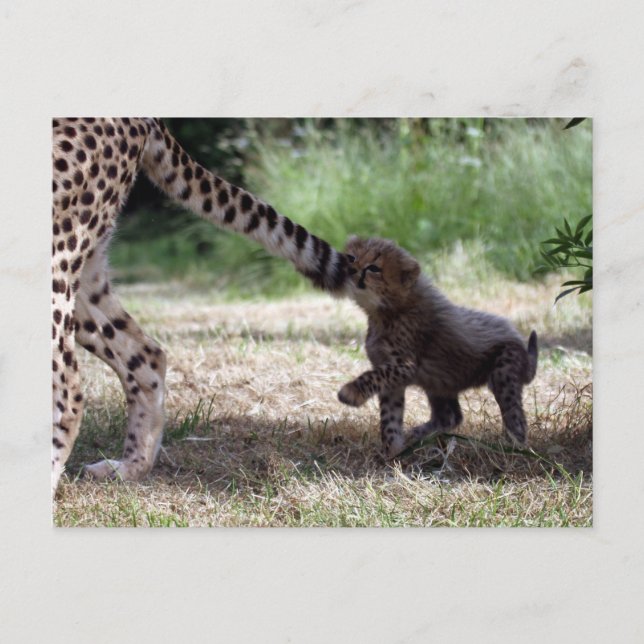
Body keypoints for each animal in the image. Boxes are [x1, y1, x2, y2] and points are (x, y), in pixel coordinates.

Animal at [336, 236, 538, 458]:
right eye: (352, 257)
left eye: (374, 268)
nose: (350, 269)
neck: (386, 311)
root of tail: (517, 337)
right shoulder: (392, 377)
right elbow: (390, 416)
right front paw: (393, 452)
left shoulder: (404, 366)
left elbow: (372, 377)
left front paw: (351, 393)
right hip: (439, 380)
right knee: (450, 416)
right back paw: (418, 436)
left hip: (502, 375)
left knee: (515, 418)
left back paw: (514, 448)